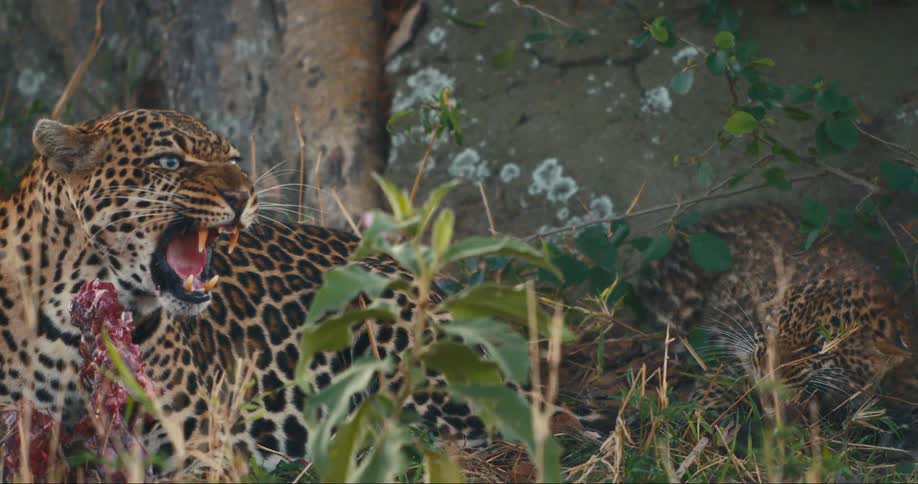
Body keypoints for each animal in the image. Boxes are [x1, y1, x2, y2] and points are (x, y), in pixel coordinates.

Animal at [638, 204, 912, 423]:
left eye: (815, 349)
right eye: (773, 327)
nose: (763, 367)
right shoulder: (737, 341)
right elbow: (722, 377)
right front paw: (704, 415)